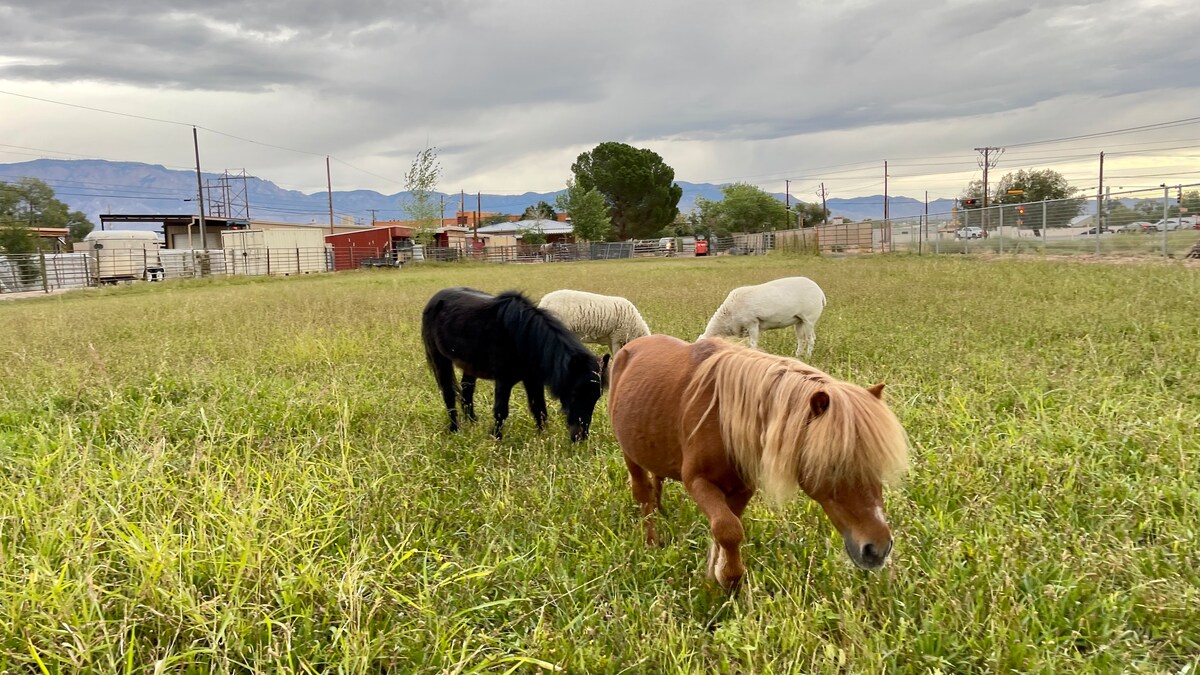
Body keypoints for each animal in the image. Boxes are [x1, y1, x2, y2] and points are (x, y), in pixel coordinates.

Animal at [422, 288, 609, 441]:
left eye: (596, 396)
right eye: (575, 393)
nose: (580, 437)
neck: (523, 337)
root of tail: (435, 298)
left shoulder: (533, 380)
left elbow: (539, 409)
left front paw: (543, 438)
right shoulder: (504, 380)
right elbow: (501, 411)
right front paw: (496, 439)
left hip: (470, 366)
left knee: (467, 391)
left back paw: (472, 422)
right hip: (440, 360)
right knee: (448, 394)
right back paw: (455, 429)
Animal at [609, 333, 907, 586]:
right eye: (833, 465)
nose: (878, 548)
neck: (723, 418)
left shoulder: (742, 488)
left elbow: (726, 530)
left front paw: (714, 575)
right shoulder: (698, 482)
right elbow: (728, 529)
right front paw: (729, 578)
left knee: (656, 479)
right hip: (629, 455)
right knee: (643, 493)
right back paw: (651, 541)